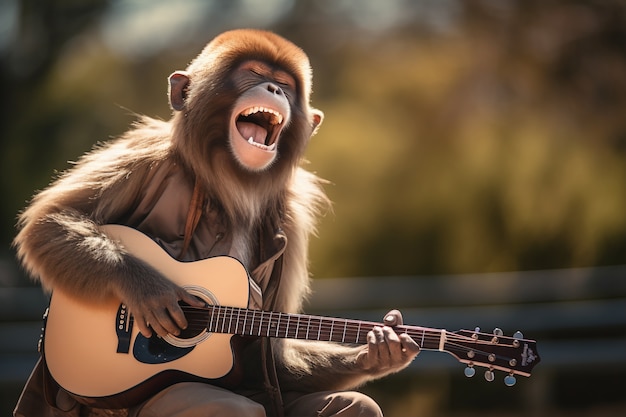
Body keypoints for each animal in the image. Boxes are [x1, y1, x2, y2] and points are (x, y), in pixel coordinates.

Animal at [12, 30, 420, 416]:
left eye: (285, 85)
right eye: (254, 74)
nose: (273, 89)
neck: (233, 184)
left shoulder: (293, 223)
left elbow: (274, 355)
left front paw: (382, 349)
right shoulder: (142, 152)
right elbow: (50, 220)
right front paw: (152, 295)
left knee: (353, 404)